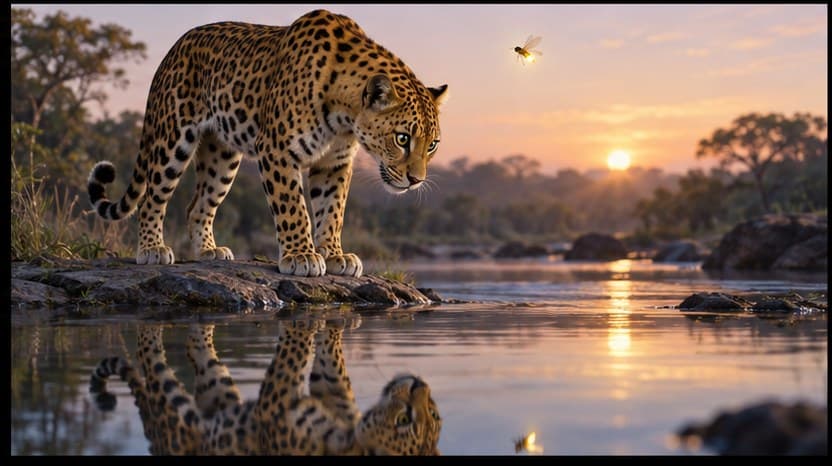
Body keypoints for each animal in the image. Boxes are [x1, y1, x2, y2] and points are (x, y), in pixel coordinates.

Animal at [86, 8, 449, 277]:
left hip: (221, 157)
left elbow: (332, 210)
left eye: (432, 145)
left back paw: (208, 251)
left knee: (197, 205)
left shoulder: (335, 162)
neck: (346, 115)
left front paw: (335, 256)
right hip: (172, 138)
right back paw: (151, 250)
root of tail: (174, 48)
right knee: (152, 197)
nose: (416, 181)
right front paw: (302, 256)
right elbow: (294, 207)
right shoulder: (277, 149)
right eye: (402, 138)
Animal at [89, 319, 442, 455]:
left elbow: (293, 354)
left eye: (404, 421)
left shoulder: (275, 401)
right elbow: (328, 359)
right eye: (435, 415)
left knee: (151, 362)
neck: (347, 438)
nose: (420, 384)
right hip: (218, 387)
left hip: (175, 411)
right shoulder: (331, 393)